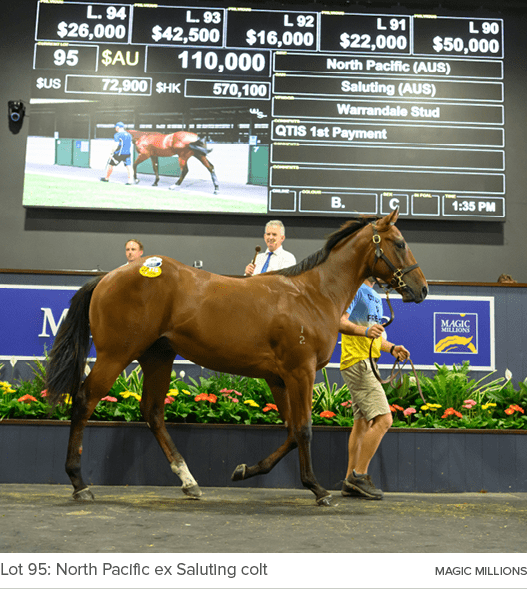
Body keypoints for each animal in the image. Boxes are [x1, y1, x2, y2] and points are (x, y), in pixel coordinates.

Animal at [45, 208, 428, 504]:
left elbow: (291, 432)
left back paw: (189, 482)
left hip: (158, 356)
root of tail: (108, 277)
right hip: (116, 353)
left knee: (152, 412)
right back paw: (79, 484)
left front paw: (245, 470)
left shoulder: (279, 378)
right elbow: (304, 429)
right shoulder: (300, 372)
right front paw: (318, 489)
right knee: (85, 400)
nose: (422, 288)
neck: (311, 294)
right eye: (400, 243)